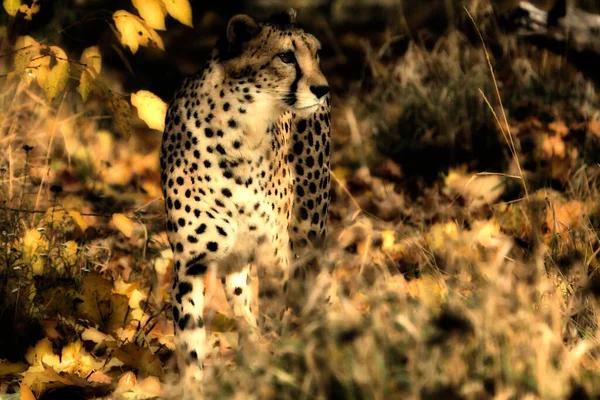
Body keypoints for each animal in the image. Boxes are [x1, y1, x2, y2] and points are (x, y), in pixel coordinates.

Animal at [162, 9, 330, 396]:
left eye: (316, 54)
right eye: (286, 56)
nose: (322, 88)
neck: (240, 133)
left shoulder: (274, 252)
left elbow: (274, 313)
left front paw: (276, 369)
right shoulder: (190, 264)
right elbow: (190, 342)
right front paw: (195, 388)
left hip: (310, 227)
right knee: (241, 303)